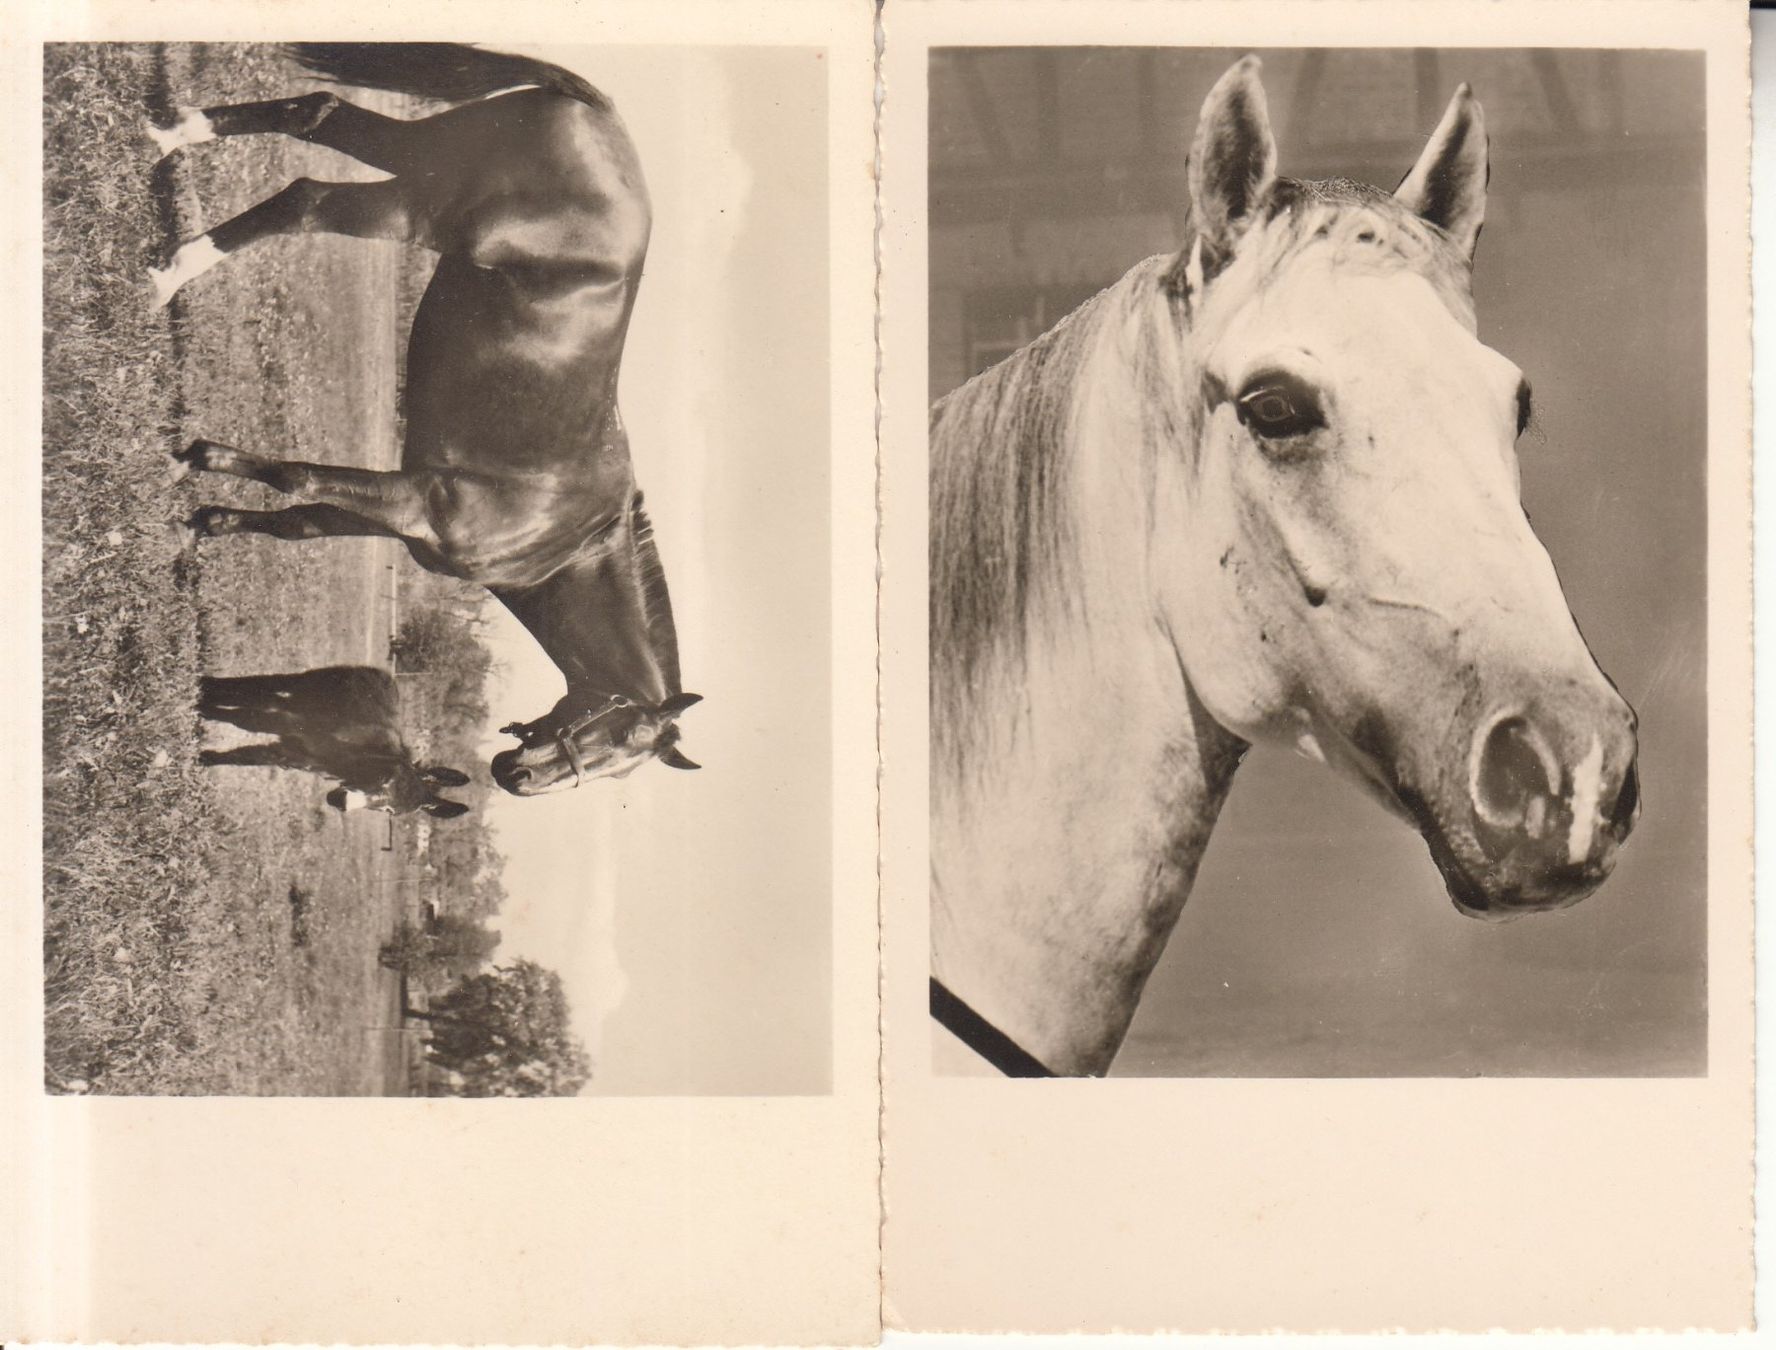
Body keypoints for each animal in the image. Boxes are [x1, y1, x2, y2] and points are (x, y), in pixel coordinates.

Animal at [150, 43, 703, 796]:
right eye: (618, 730)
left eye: (616, 768)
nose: (515, 776)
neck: (564, 534)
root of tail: (600, 113)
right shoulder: (418, 499)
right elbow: (298, 479)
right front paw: (200, 459)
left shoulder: (396, 518)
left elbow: (301, 522)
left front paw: (209, 519)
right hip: (421, 206)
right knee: (306, 199)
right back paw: (166, 276)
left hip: (426, 153)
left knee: (315, 111)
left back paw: (165, 136)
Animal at [198, 666, 470, 818]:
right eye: (384, 779)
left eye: (390, 812)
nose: (341, 802)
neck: (354, 757)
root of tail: (385, 675)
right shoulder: (286, 724)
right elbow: (241, 720)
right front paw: (200, 713)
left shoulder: (294, 756)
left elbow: (246, 757)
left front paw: (204, 760)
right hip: (298, 689)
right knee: (252, 690)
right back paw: (204, 688)